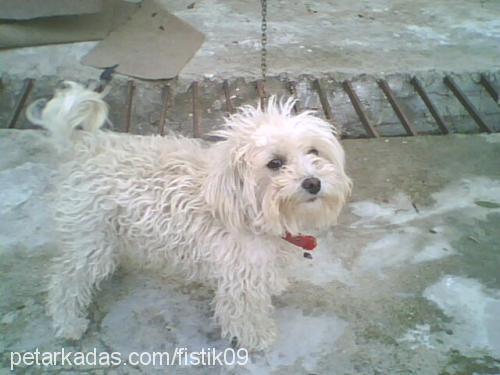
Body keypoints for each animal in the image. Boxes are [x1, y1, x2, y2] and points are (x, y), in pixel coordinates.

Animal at [28, 81, 352, 352]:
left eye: (314, 152)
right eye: (275, 163)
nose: (313, 183)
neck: (248, 209)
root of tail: (81, 148)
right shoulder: (240, 277)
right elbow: (244, 311)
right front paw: (256, 337)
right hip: (90, 243)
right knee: (65, 282)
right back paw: (69, 323)